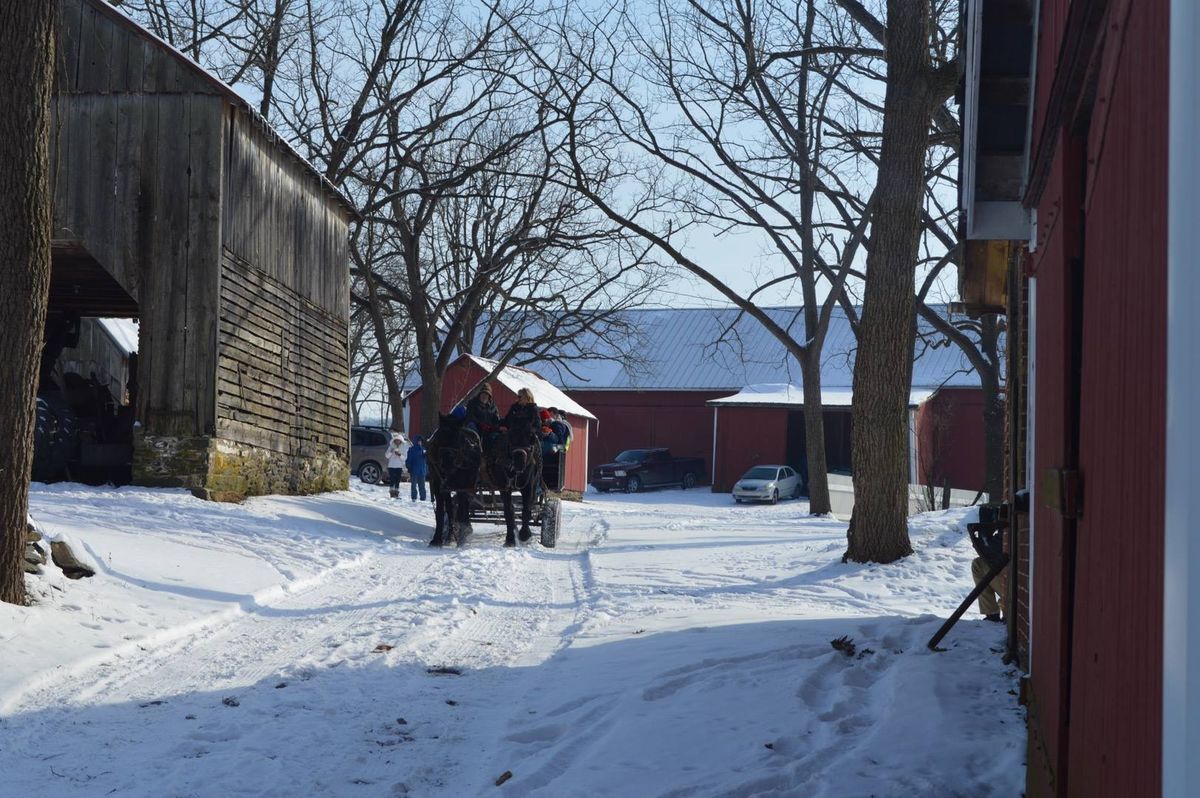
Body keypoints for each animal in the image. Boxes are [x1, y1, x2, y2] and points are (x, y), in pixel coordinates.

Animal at [422, 410, 477, 547]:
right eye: (440, 437)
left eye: (458, 439)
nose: (447, 463)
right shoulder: (439, 485)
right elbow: (442, 512)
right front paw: (437, 539)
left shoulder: (462, 485)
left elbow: (461, 510)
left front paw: (461, 537)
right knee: (451, 508)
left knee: (464, 506)